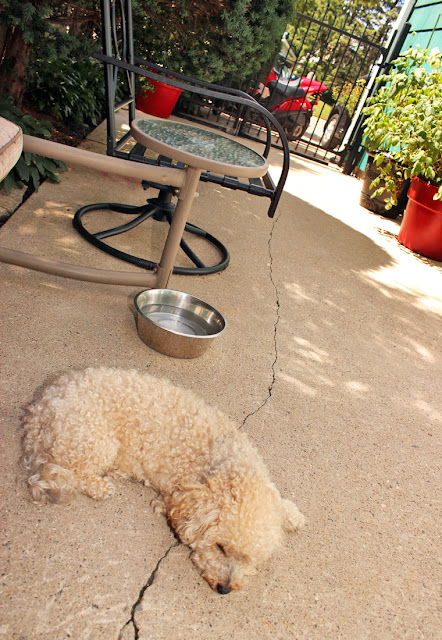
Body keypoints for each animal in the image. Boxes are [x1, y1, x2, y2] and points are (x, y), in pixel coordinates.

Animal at [21, 367, 305, 593]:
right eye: (221, 548)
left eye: (249, 560)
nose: (225, 589)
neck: (222, 459)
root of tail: (40, 408)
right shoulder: (175, 493)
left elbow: (280, 502)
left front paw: (293, 515)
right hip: (94, 440)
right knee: (70, 472)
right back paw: (101, 486)